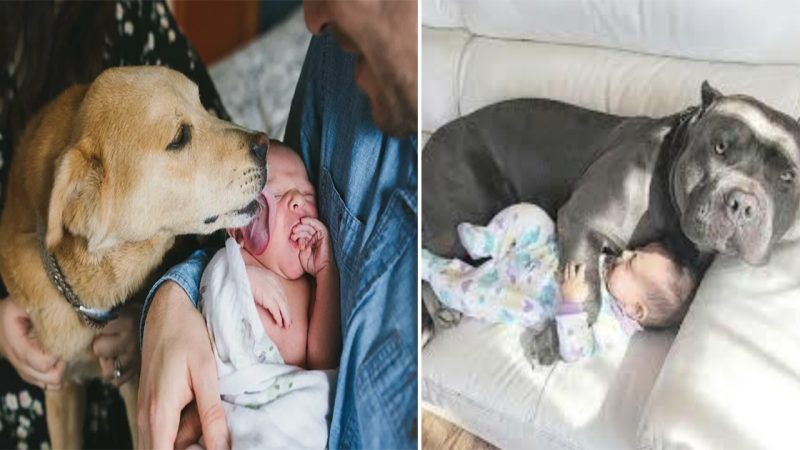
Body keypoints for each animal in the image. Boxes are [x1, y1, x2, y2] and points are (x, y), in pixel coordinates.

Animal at [422, 82, 800, 364]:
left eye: (787, 177)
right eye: (720, 147)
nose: (743, 203)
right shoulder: (581, 218)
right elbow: (589, 289)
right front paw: (555, 338)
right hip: (462, 213)